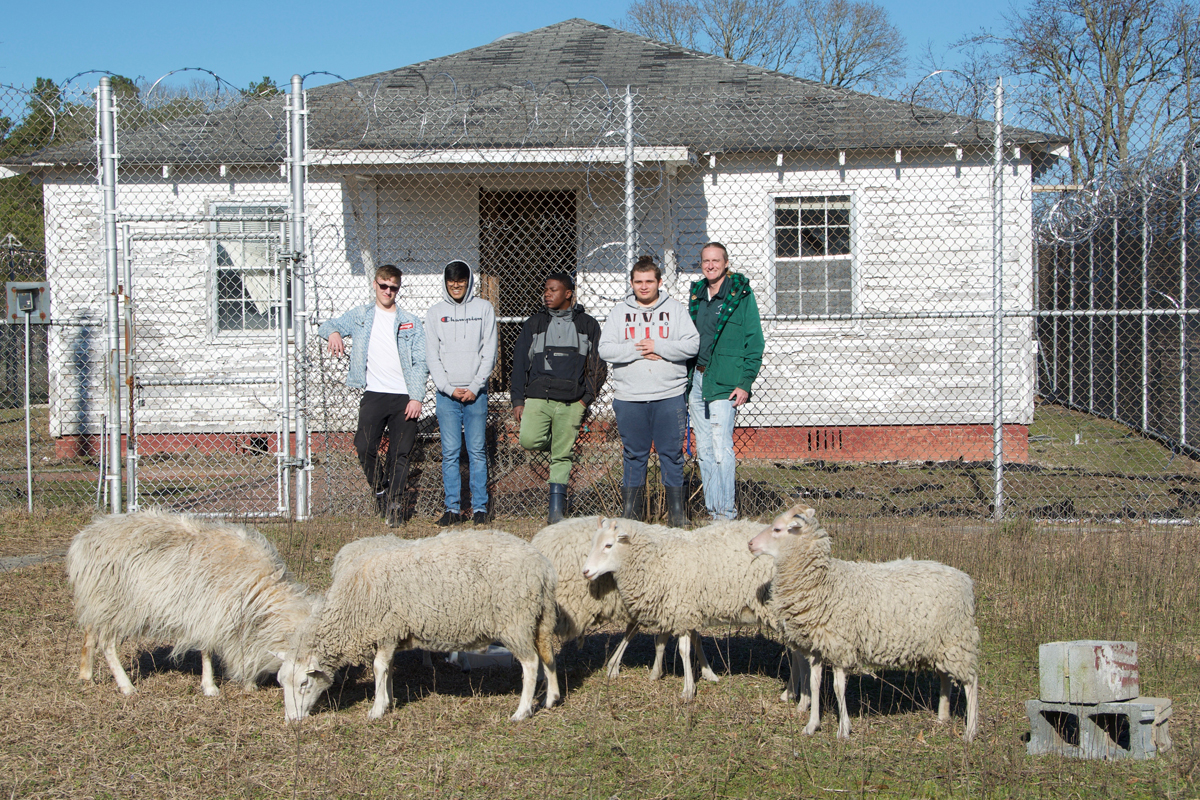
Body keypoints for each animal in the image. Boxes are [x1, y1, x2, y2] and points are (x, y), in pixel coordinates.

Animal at [66, 510, 314, 695]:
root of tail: (85, 537)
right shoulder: (208, 611)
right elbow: (207, 650)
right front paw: (211, 687)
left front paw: (248, 682)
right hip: (113, 603)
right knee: (107, 644)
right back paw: (126, 686)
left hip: (96, 601)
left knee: (89, 634)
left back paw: (86, 675)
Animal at [280, 527, 561, 724]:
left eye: (304, 684)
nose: (292, 720)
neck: (350, 607)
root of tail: (543, 567)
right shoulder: (392, 634)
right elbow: (387, 668)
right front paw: (389, 700)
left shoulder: (386, 628)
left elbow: (379, 667)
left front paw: (377, 709)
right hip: (540, 618)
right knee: (547, 656)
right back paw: (552, 698)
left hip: (515, 620)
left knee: (531, 663)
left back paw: (522, 712)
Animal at [585, 515, 782, 695]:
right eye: (593, 543)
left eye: (608, 545)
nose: (585, 571)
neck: (656, 559)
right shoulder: (675, 608)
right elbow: (664, 641)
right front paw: (658, 673)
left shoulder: (682, 610)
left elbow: (683, 650)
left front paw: (688, 689)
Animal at [744, 506, 979, 743]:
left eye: (777, 529)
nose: (750, 544)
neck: (823, 583)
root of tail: (964, 578)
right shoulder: (817, 646)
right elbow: (815, 684)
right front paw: (812, 725)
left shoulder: (840, 646)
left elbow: (838, 688)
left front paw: (843, 729)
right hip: (942, 644)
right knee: (945, 677)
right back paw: (942, 717)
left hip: (958, 639)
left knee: (971, 681)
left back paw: (970, 731)